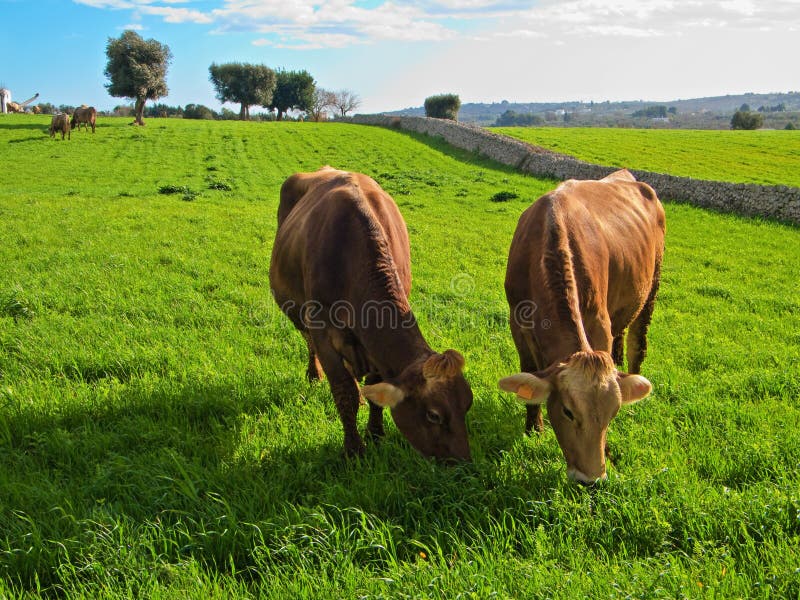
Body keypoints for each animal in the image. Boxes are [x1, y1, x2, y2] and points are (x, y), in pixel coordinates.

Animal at [268, 166, 472, 462]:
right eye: (433, 415)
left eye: (467, 404)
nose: (463, 462)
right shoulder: (322, 329)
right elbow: (344, 392)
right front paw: (353, 450)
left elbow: (375, 388)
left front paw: (375, 434)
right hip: (297, 312)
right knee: (308, 343)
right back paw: (314, 375)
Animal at [500, 168, 664, 482]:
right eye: (567, 411)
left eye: (612, 414)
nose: (591, 480)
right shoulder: (517, 321)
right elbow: (528, 369)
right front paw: (533, 428)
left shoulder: (598, 321)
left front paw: (609, 451)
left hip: (651, 286)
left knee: (638, 343)